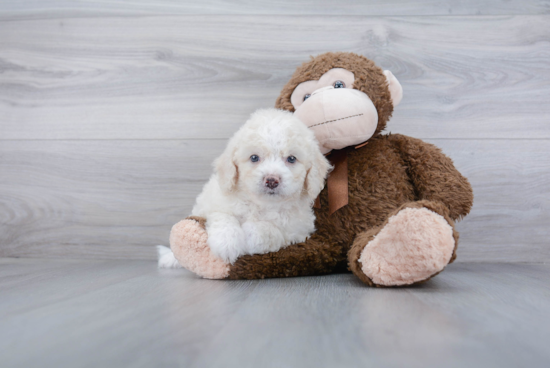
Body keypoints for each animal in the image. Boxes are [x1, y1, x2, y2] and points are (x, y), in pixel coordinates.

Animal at [158, 108, 332, 266]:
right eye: (254, 158)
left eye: (291, 159)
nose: (271, 180)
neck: (262, 205)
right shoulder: (213, 206)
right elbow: (224, 217)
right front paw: (226, 244)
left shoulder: (298, 231)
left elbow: (273, 231)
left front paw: (251, 232)